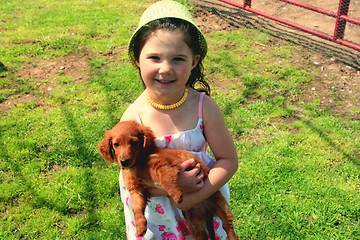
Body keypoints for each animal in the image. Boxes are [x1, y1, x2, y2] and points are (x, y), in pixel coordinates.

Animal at [98, 121, 238, 239]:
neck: (138, 163)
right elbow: (136, 208)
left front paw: (176, 195)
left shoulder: (164, 166)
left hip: (221, 205)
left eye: (133, 142)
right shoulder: (137, 190)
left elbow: (166, 180)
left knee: (228, 227)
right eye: (116, 144)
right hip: (195, 224)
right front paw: (140, 226)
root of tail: (207, 213)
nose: (124, 162)